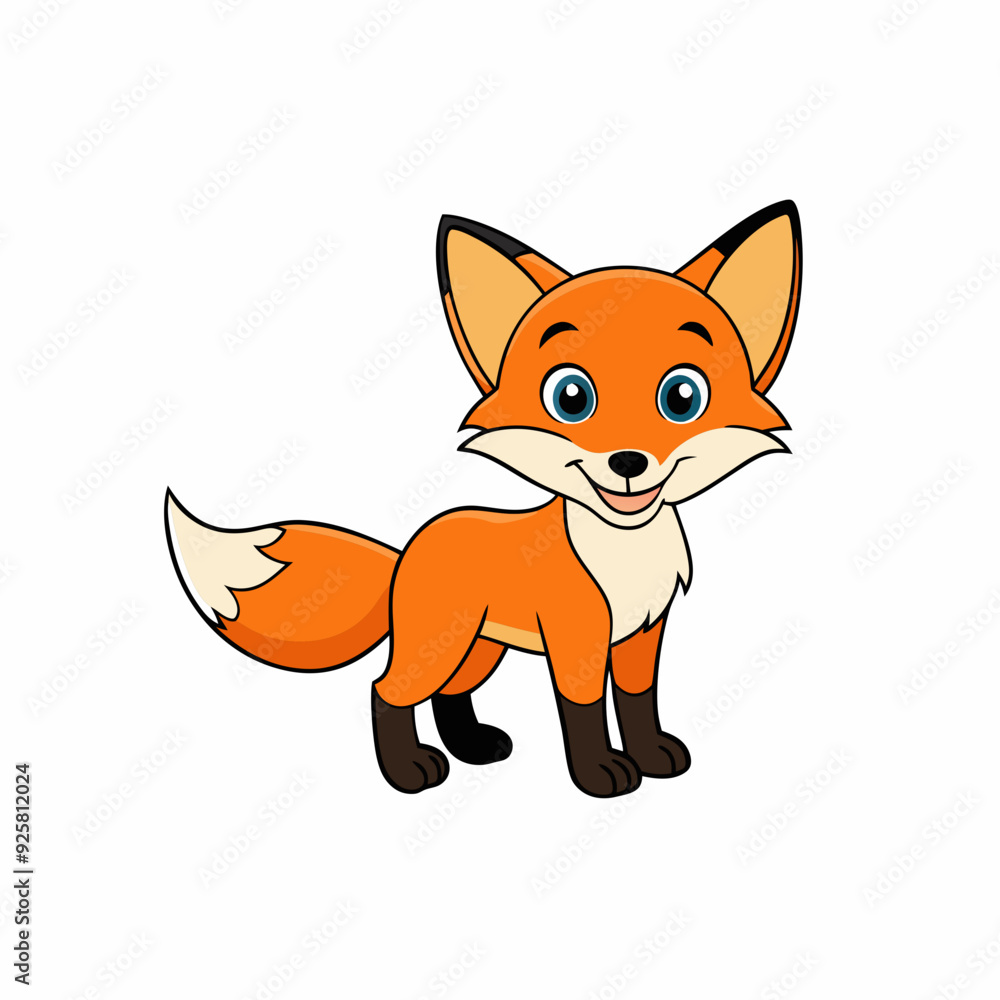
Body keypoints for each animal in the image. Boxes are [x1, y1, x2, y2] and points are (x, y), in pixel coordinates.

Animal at [165, 200, 803, 797]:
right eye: (571, 397)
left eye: (682, 397)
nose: (628, 462)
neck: (623, 553)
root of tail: (409, 548)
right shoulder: (577, 638)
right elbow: (584, 711)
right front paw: (599, 774)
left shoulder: (643, 634)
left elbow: (638, 703)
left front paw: (652, 756)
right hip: (438, 645)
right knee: (386, 690)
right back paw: (409, 772)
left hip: (477, 648)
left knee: (448, 695)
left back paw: (473, 746)